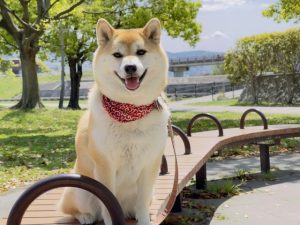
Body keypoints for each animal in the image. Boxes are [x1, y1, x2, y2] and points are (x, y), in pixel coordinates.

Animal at [58, 18, 170, 225]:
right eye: (117, 54)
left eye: (140, 52)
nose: (130, 68)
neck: (130, 109)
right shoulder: (105, 165)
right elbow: (107, 204)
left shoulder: (150, 163)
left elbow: (142, 202)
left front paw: (144, 220)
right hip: (78, 192)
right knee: (75, 210)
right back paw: (85, 216)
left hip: (150, 193)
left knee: (138, 205)